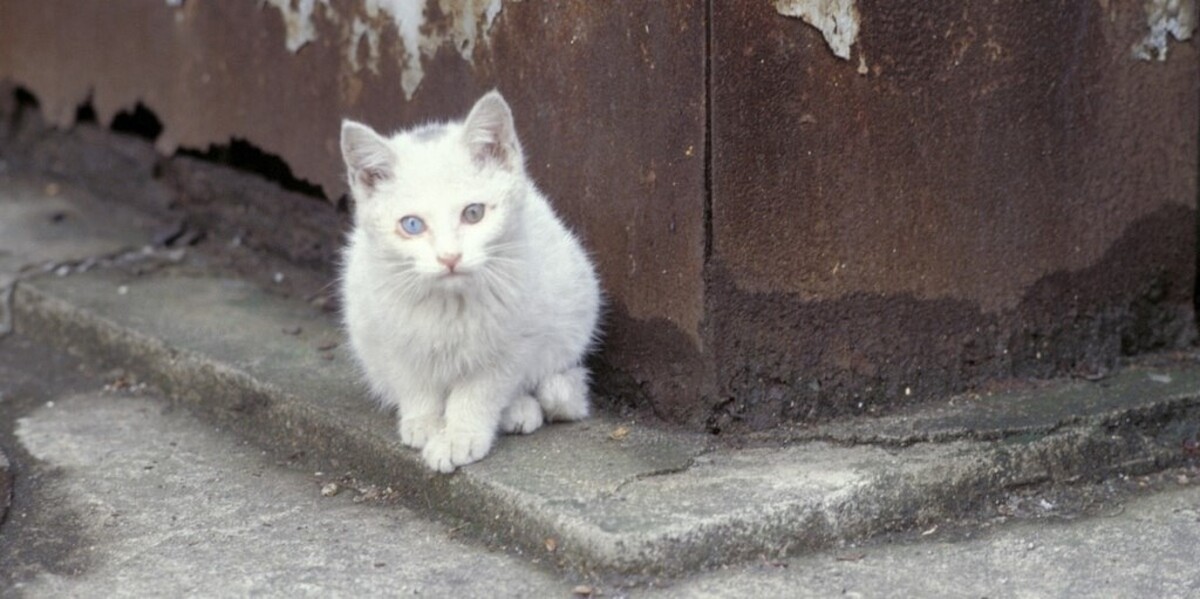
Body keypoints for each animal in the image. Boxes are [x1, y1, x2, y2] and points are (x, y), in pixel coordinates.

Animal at [338, 90, 600, 472]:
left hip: (572, 309)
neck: (450, 303)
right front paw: (424, 422)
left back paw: (519, 408)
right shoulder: (386, 329)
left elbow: (481, 389)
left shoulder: (514, 338)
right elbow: (413, 378)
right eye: (412, 225)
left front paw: (459, 436)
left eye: (473, 213)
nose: (449, 257)